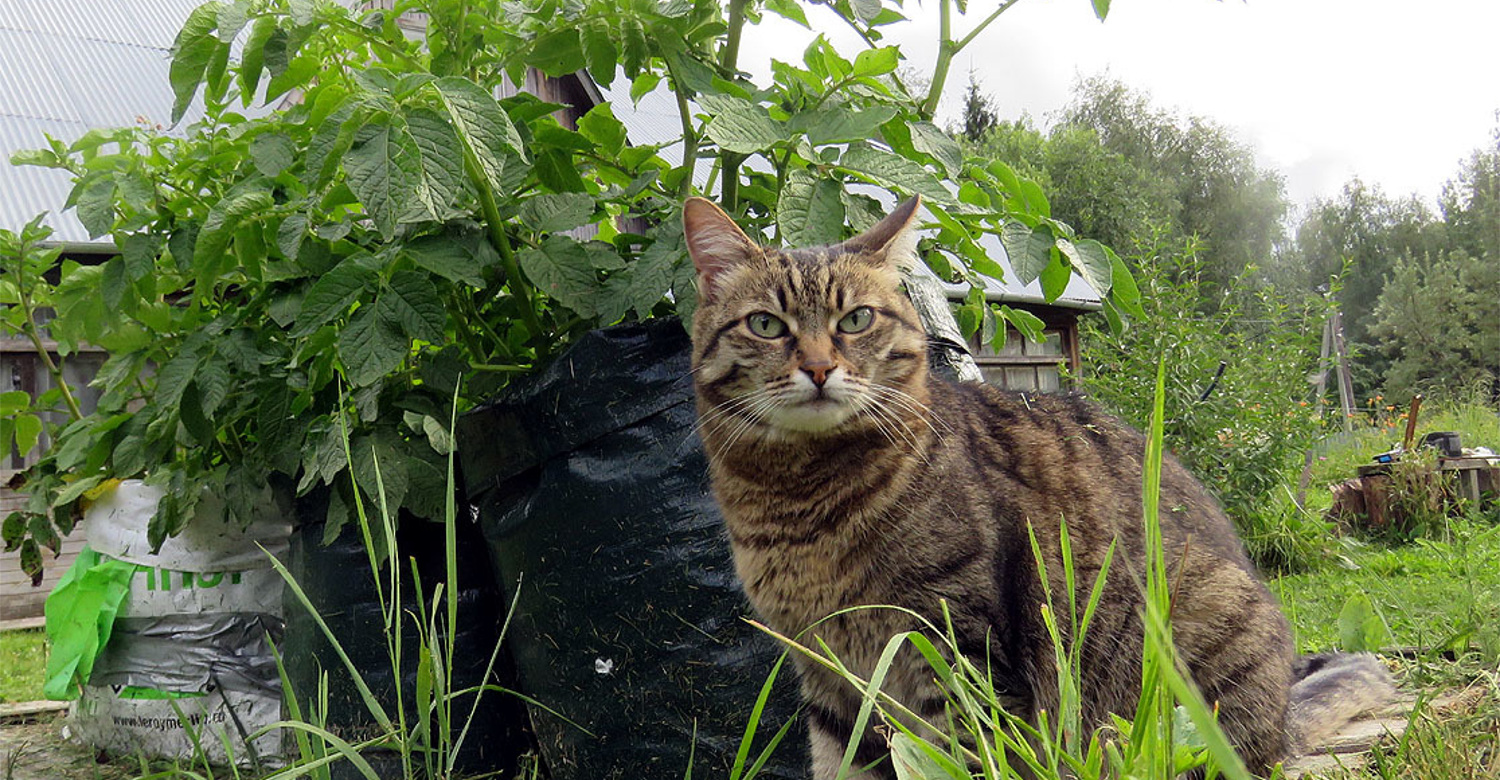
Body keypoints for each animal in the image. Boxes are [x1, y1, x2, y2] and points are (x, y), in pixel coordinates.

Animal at [681, 193, 1392, 774]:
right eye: (766, 325)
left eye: (855, 320)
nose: (820, 367)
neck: (798, 501)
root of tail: (1282, 720)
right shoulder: (826, 675)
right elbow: (840, 762)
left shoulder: (958, 649)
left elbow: (965, 758)